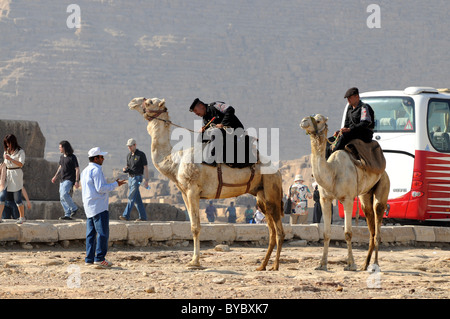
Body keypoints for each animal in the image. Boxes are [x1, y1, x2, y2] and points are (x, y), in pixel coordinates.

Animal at [129, 97, 284, 270]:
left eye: (149, 101)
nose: (132, 102)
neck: (175, 161)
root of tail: (277, 171)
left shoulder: (193, 190)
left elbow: (196, 227)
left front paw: (194, 262)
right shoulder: (184, 193)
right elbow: (191, 224)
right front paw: (193, 260)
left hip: (271, 187)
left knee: (279, 231)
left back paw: (275, 266)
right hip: (261, 194)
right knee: (271, 230)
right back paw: (262, 266)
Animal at [298, 114, 390, 272]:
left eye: (318, 120)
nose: (304, 121)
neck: (332, 171)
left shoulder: (347, 199)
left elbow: (348, 233)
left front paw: (351, 264)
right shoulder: (325, 199)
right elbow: (326, 233)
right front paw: (322, 264)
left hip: (383, 186)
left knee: (377, 225)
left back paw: (375, 265)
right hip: (365, 195)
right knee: (370, 225)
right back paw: (365, 265)